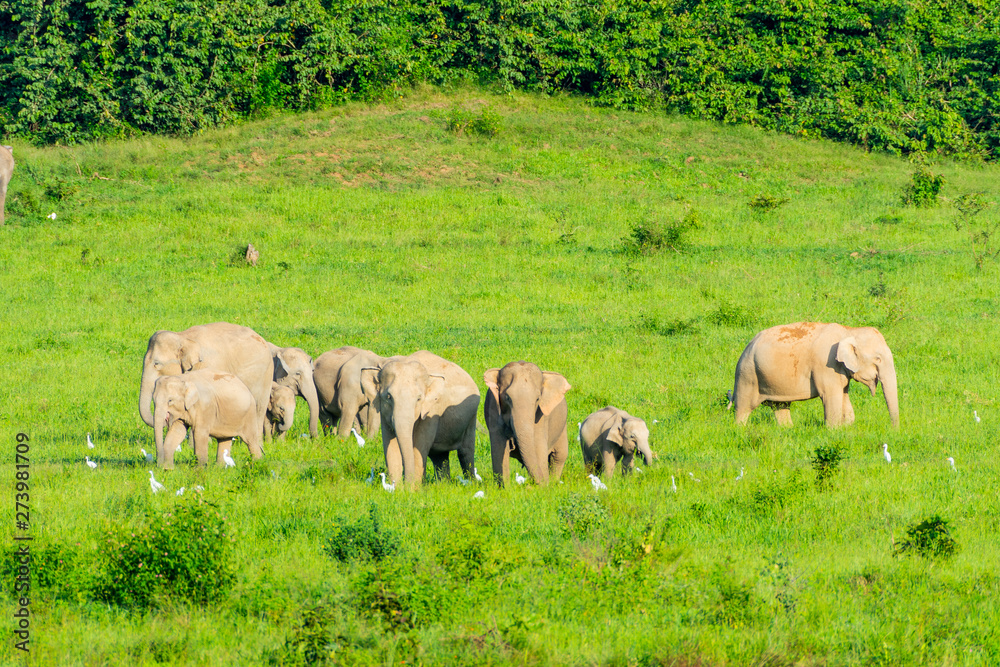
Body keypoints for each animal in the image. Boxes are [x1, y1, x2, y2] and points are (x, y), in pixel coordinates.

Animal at [139, 322, 274, 440]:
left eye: (157, 363)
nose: (166, 419)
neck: (183, 337)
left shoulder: (208, 364)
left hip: (265, 375)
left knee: (258, 408)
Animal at [364, 350, 480, 490]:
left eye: (419, 399)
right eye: (388, 397)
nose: (405, 485)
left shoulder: (432, 411)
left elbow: (419, 447)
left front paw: (413, 490)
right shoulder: (384, 414)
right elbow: (390, 448)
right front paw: (396, 490)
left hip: (471, 416)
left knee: (465, 452)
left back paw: (471, 485)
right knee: (440, 456)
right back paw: (444, 485)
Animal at [728, 322, 900, 428]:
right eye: (878, 359)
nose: (893, 430)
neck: (849, 330)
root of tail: (748, 345)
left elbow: (844, 394)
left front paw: (847, 427)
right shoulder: (825, 365)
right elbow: (831, 396)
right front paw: (833, 430)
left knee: (780, 406)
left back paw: (788, 429)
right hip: (747, 374)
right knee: (744, 407)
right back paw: (739, 429)